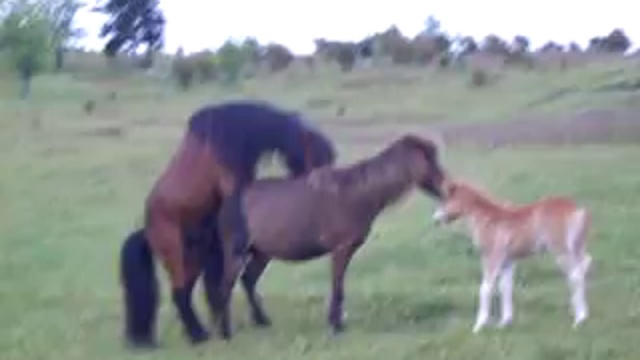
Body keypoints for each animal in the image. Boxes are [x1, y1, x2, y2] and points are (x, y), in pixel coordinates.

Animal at [122, 100, 338, 348]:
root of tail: (146, 231)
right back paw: (199, 335)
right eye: (319, 156)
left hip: (195, 256)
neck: (233, 133)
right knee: (179, 293)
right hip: (174, 252)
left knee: (187, 290)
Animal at [210, 134, 444, 338]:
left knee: (248, 280)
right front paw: (336, 325)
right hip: (236, 251)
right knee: (225, 288)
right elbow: (337, 286)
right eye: (430, 159)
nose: (445, 187)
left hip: (261, 252)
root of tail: (227, 203)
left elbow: (338, 286)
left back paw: (262, 320)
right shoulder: (341, 248)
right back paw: (225, 332)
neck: (361, 193)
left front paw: (337, 323)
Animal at [432, 179, 592, 334]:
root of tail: (576, 209)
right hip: (577, 247)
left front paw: (478, 326)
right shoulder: (507, 261)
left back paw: (580, 319)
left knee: (575, 274)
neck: (488, 219)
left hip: (561, 249)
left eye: (445, 200)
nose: (435, 219)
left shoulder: (492, 257)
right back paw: (577, 310)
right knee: (584, 265)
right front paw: (505, 322)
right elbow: (505, 286)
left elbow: (485, 288)